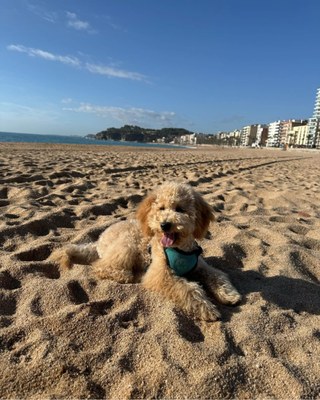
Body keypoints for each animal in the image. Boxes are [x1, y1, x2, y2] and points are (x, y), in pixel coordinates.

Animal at [57, 182, 240, 322]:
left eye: (180, 209)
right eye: (161, 208)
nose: (165, 224)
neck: (179, 248)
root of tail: (99, 239)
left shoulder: (201, 266)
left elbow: (217, 275)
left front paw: (228, 294)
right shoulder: (160, 273)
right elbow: (187, 288)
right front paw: (206, 308)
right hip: (127, 246)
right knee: (101, 266)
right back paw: (128, 274)